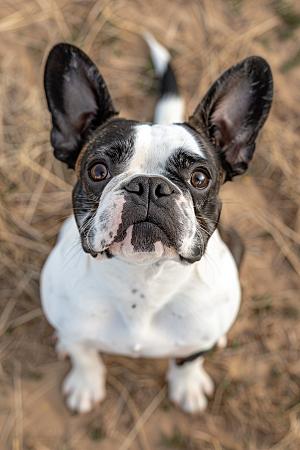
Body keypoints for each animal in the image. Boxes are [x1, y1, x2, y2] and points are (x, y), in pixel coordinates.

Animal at [41, 35, 274, 414]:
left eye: (199, 178)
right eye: (97, 170)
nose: (149, 185)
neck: (142, 281)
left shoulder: (198, 337)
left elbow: (189, 359)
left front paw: (188, 386)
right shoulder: (74, 324)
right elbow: (84, 355)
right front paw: (85, 384)